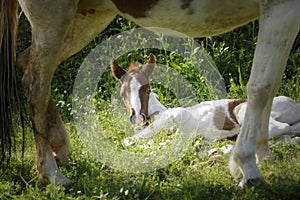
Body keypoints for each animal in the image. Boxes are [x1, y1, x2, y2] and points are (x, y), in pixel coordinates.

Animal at [110, 54, 300, 142]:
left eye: (148, 90)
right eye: (122, 94)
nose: (138, 118)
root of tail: (294, 104)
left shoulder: (176, 115)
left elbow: (127, 141)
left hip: (244, 110)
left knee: (277, 128)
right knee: (289, 134)